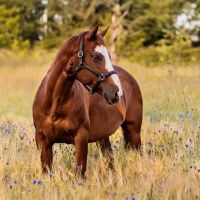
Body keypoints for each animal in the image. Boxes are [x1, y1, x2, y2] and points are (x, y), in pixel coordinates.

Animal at [32, 24, 142, 177]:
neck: (54, 104)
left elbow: (80, 173)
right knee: (110, 161)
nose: (117, 93)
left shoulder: (81, 138)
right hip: (103, 137)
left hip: (134, 130)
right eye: (97, 57)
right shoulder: (43, 142)